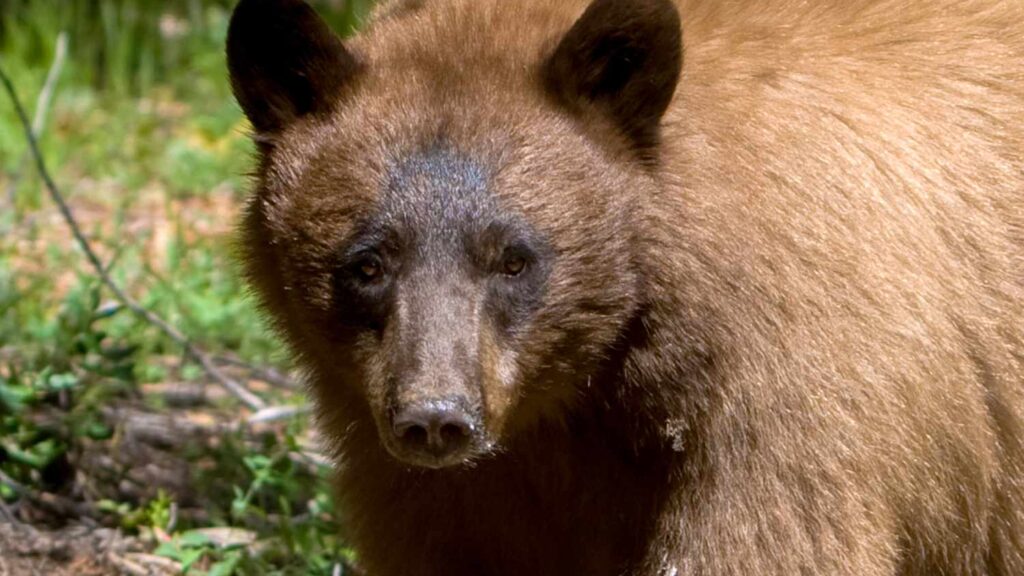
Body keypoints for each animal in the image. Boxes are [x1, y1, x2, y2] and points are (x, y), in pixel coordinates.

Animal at [226, 0, 1024, 574]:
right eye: (368, 263)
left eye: (514, 259)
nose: (435, 418)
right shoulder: (446, 486)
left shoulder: (794, 386)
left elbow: (772, 541)